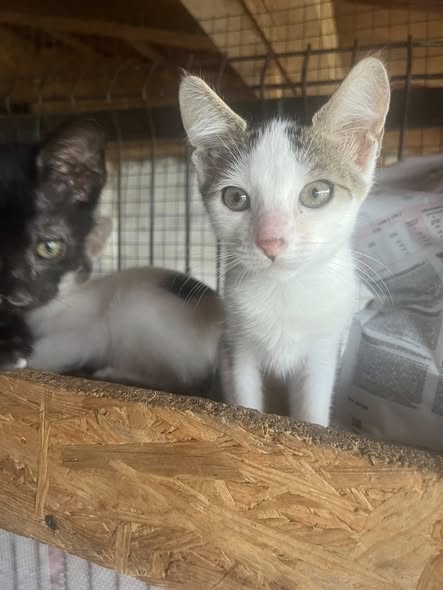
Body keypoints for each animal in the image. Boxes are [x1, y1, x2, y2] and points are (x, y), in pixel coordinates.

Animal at [179, 57, 391, 426]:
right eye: (235, 198)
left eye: (317, 193)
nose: (270, 241)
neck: (284, 294)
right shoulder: (236, 347)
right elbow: (245, 399)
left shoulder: (324, 350)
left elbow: (313, 411)